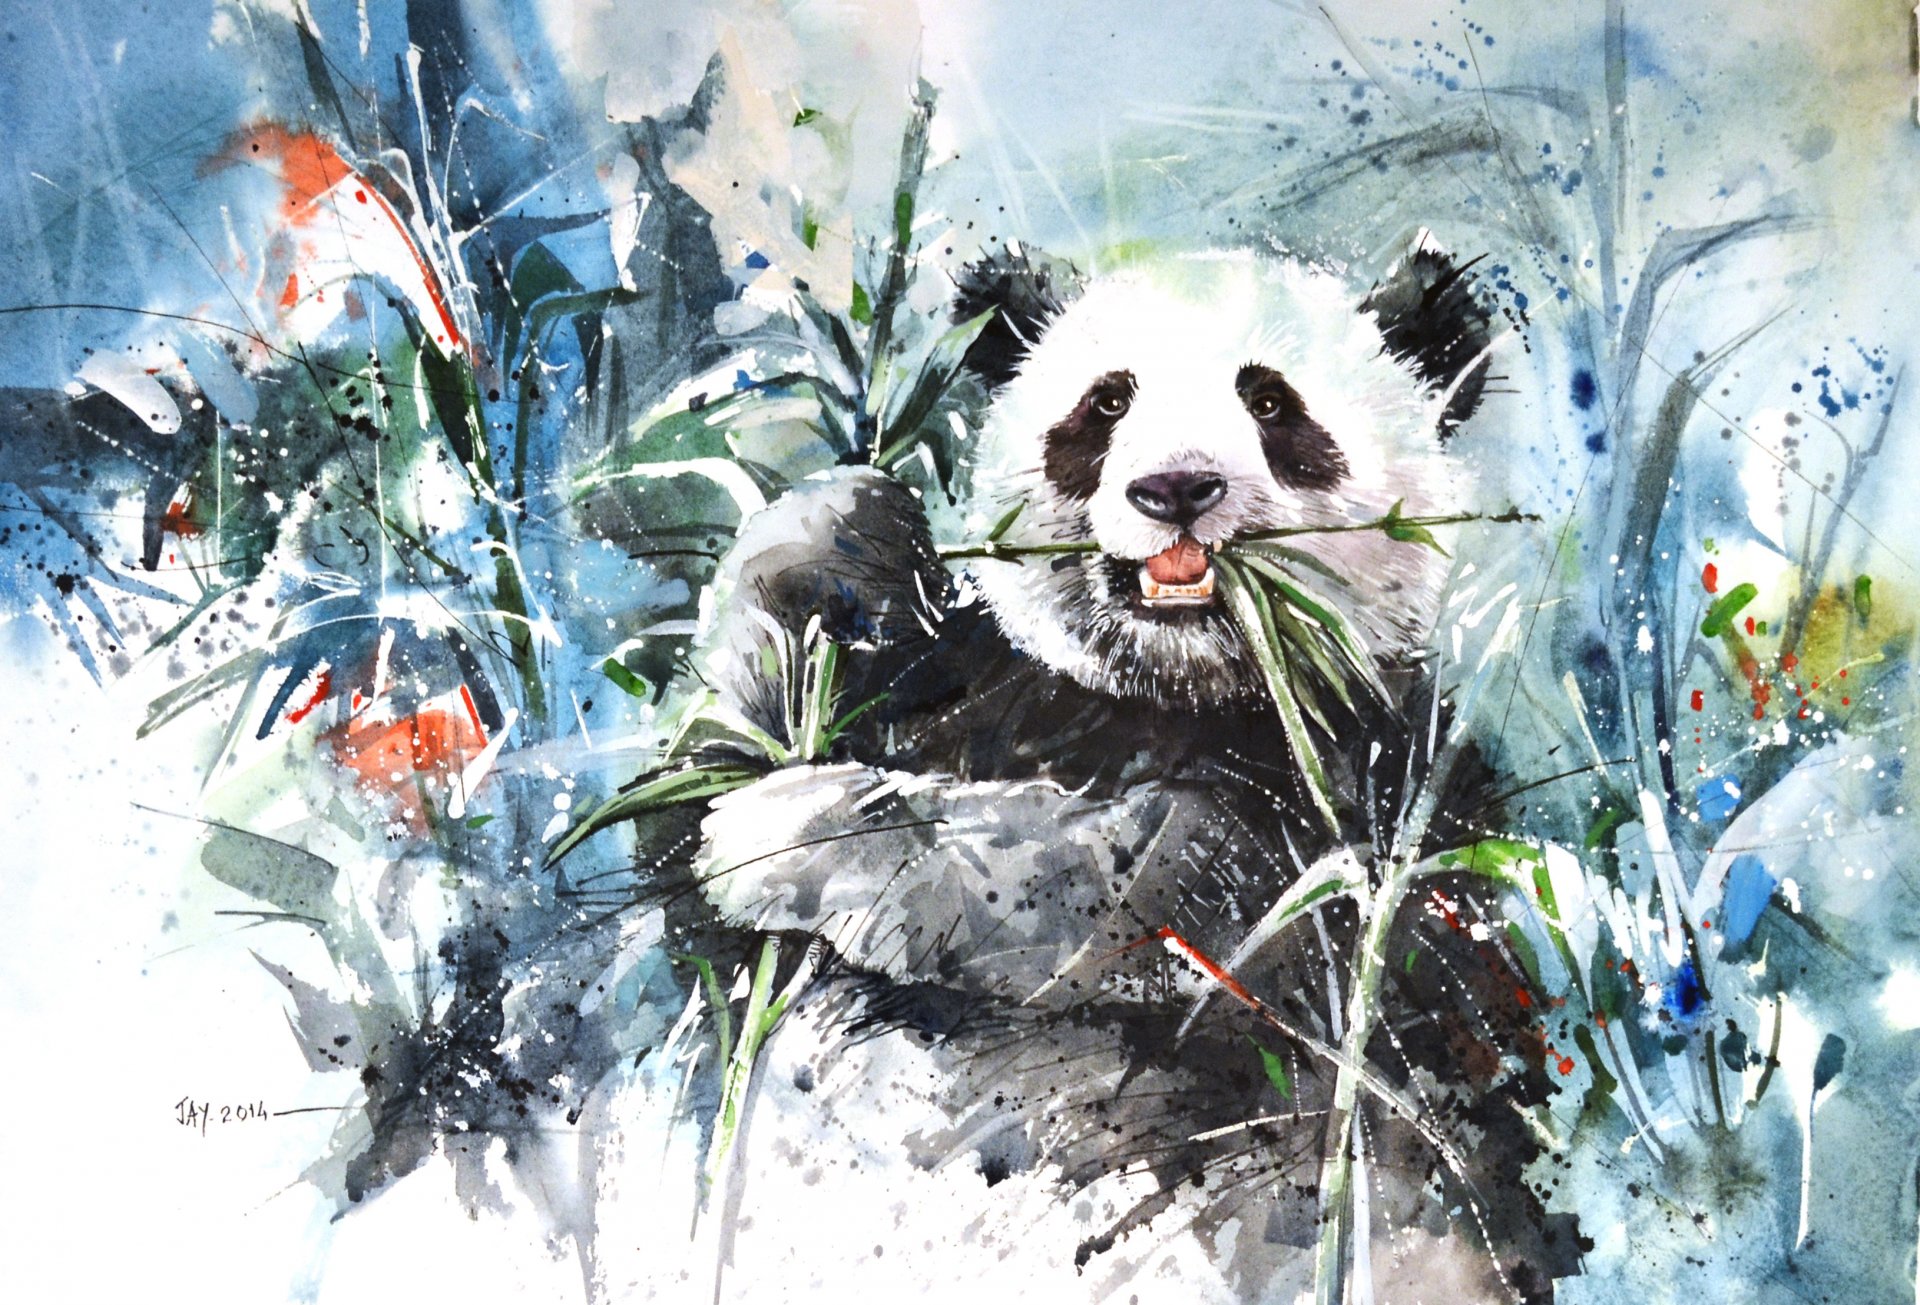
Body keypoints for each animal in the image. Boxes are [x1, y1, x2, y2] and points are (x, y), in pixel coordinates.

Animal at [626, 244, 1580, 1301]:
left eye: (1271, 402)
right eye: (1107, 401)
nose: (1177, 488)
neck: (1167, 687)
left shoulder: (1346, 800)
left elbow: (1115, 887)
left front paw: (783, 839)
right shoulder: (968, 681)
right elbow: (689, 813)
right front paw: (857, 525)